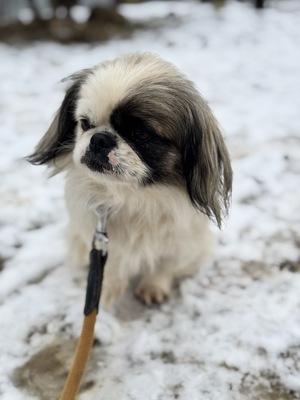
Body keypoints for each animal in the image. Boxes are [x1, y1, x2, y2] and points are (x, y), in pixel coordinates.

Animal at [27, 51, 232, 304]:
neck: (133, 197)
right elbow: (112, 267)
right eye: (85, 123)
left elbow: (164, 266)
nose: (100, 139)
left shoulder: (181, 244)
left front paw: (153, 287)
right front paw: (106, 292)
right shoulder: (103, 241)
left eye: (140, 133)